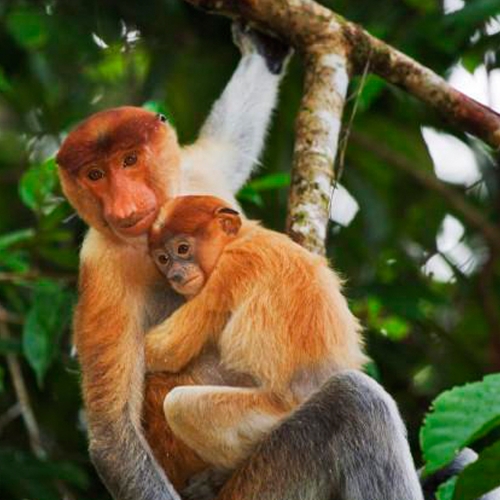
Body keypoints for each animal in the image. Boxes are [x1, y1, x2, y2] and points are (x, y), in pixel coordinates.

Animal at [146, 194, 368, 468]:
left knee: (178, 404)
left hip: (271, 416)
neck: (243, 237)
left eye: (183, 249)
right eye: (163, 259)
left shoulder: (228, 269)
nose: (175, 275)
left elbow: (164, 351)